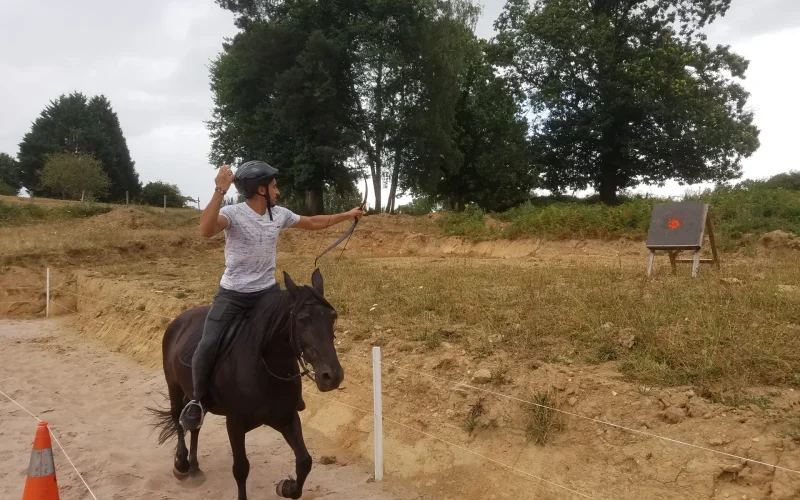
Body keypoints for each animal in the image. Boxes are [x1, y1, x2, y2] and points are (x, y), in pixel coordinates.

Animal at [148, 270, 342, 500]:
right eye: (303, 319)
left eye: (333, 317)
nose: (332, 376)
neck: (264, 367)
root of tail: (178, 320)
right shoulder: (235, 424)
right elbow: (241, 468)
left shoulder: (286, 417)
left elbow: (304, 461)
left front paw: (286, 487)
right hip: (174, 387)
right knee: (178, 420)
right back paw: (182, 464)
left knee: (194, 426)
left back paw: (194, 468)